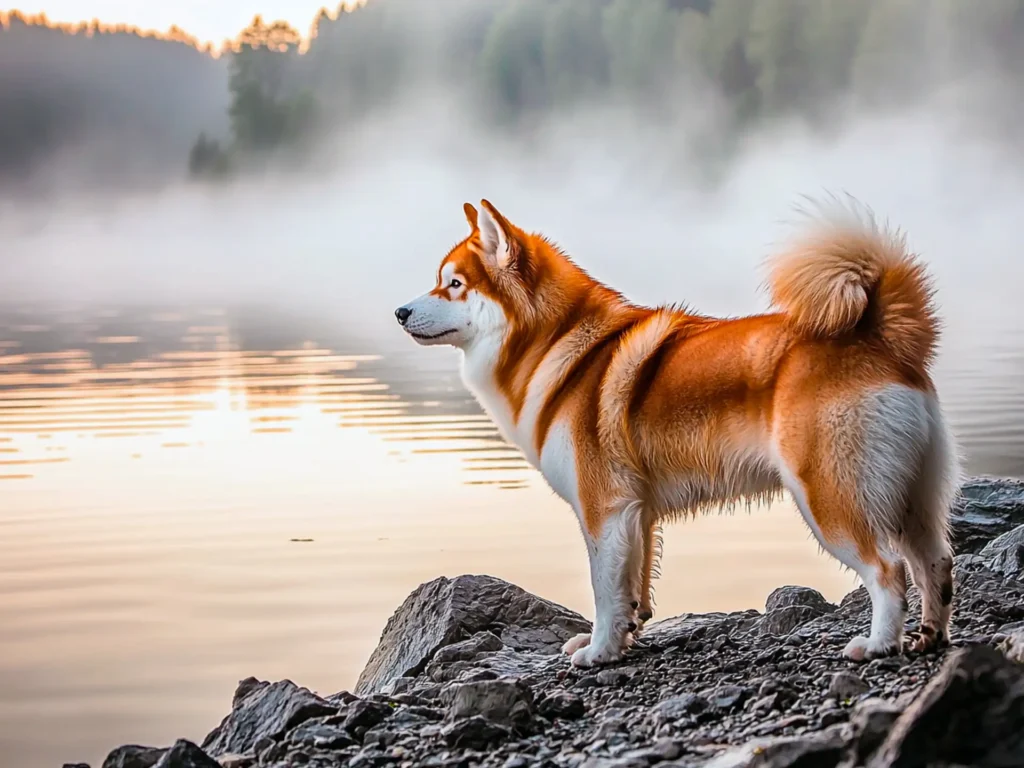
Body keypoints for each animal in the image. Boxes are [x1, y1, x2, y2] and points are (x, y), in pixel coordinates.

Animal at [393, 201, 958, 671]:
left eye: (455, 284)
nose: (399, 311)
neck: (556, 345)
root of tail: (879, 335)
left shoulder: (604, 509)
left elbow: (603, 589)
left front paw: (599, 652)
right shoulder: (636, 513)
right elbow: (632, 588)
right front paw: (623, 637)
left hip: (830, 500)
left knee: (889, 572)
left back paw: (879, 644)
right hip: (912, 498)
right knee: (935, 562)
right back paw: (929, 638)